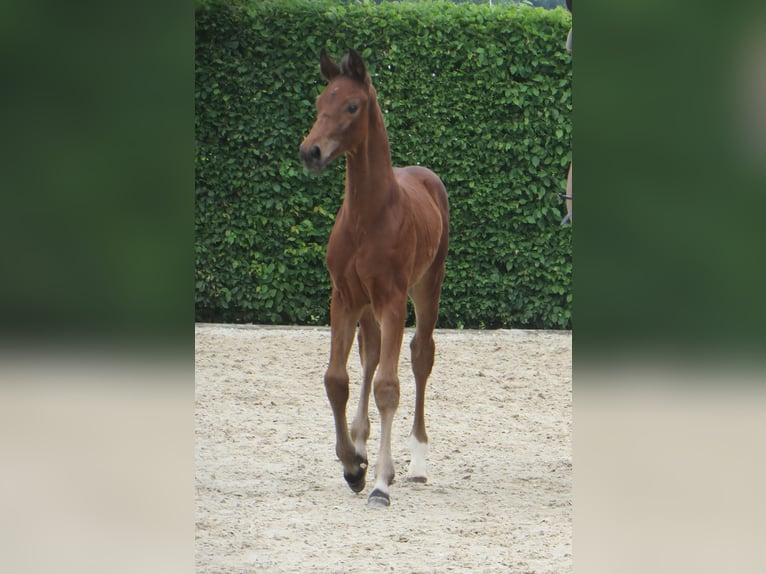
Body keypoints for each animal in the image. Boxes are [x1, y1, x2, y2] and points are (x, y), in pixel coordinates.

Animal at [299, 49, 450, 508]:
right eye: (319, 102)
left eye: (352, 106)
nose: (310, 152)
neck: (367, 216)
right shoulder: (344, 298)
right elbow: (337, 379)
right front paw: (353, 465)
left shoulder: (393, 300)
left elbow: (388, 385)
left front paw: (381, 481)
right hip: (367, 307)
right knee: (369, 355)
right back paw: (361, 443)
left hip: (427, 287)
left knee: (420, 356)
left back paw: (417, 462)